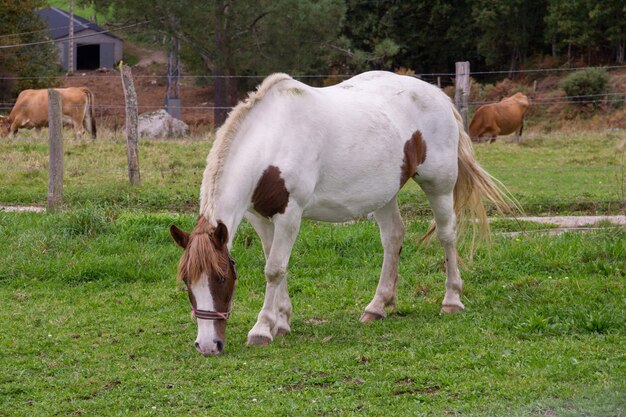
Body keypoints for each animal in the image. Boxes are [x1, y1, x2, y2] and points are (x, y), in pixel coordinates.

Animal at [168, 70, 510, 354]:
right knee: (393, 238)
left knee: (446, 235)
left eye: (221, 278)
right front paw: (283, 321)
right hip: (383, 193)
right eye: (186, 281)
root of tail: (438, 95)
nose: (208, 345)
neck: (272, 139)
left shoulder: (290, 215)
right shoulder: (259, 216)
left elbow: (274, 269)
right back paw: (378, 306)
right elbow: (274, 263)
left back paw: (451, 300)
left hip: (439, 185)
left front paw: (263, 329)